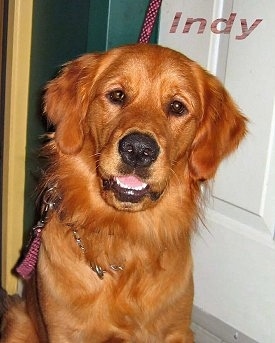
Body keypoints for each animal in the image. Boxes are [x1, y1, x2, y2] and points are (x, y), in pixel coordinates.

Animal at [0, 44, 248, 342]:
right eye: (117, 95)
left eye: (177, 107)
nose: (138, 150)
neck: (124, 238)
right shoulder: (65, 333)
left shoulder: (177, 329)